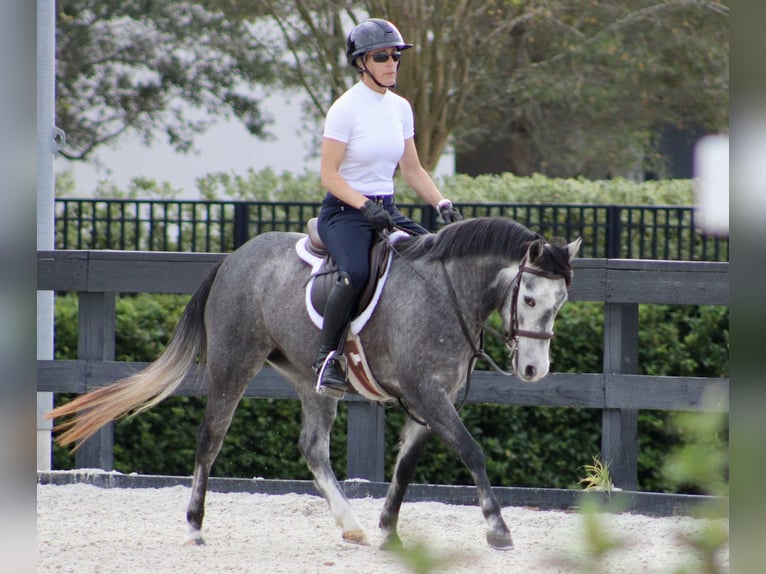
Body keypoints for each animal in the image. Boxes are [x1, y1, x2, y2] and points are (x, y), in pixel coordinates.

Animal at [48, 218, 584, 552]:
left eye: (560, 302)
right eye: (530, 299)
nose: (534, 370)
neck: (446, 293)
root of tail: (235, 257)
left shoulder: (433, 399)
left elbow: (405, 469)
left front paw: (388, 531)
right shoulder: (427, 394)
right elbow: (472, 452)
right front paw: (498, 529)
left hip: (311, 381)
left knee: (312, 447)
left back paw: (351, 526)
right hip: (234, 363)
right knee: (210, 439)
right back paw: (195, 526)